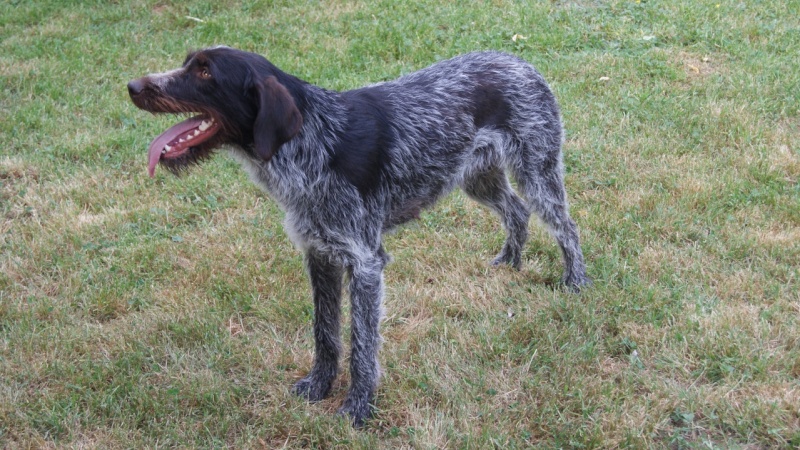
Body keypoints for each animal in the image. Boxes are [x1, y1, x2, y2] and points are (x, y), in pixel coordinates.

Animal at [128, 45, 592, 426]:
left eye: (205, 72)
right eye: (189, 63)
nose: (132, 86)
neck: (312, 139)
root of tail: (519, 62)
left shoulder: (365, 262)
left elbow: (362, 346)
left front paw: (358, 408)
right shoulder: (319, 253)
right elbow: (326, 333)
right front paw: (319, 387)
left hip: (536, 169)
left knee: (565, 226)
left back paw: (575, 281)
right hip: (478, 177)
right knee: (515, 210)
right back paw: (510, 262)